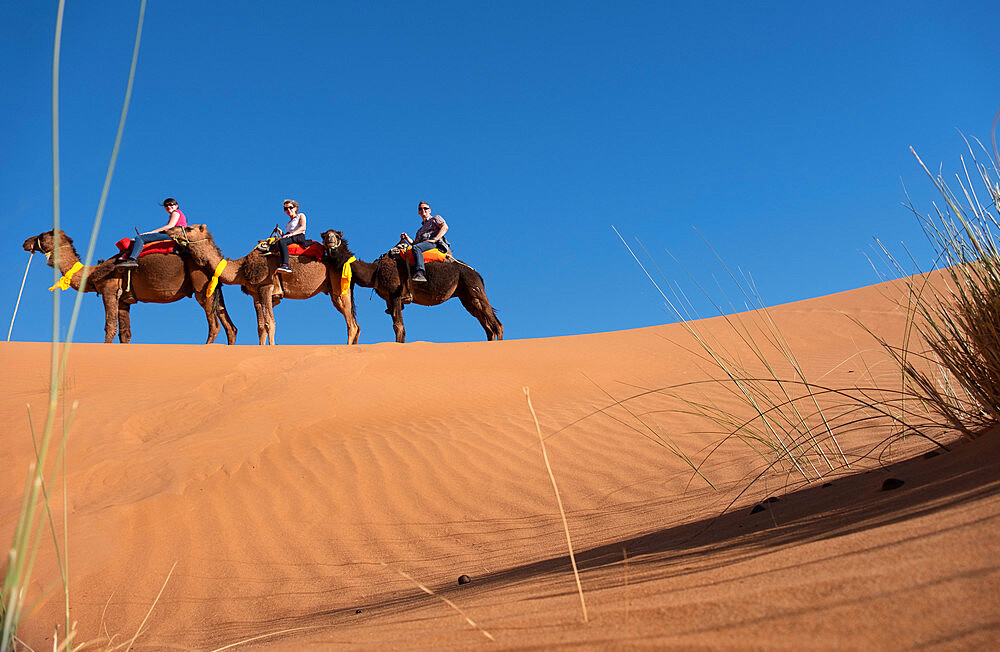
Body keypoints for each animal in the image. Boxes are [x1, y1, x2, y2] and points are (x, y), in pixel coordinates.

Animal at [22, 229, 237, 344]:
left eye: (43, 234)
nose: (25, 242)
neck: (92, 273)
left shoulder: (109, 290)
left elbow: (110, 327)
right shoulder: (124, 301)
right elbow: (125, 334)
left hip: (201, 283)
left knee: (214, 324)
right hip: (215, 287)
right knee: (229, 325)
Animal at [172, 223, 360, 346]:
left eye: (188, 228)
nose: (170, 230)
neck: (241, 268)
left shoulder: (266, 287)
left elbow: (271, 323)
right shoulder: (255, 294)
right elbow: (260, 326)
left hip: (340, 287)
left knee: (351, 324)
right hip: (335, 291)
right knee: (355, 324)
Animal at [324, 228, 504, 342]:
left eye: (337, 236)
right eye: (325, 235)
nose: (330, 241)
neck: (375, 271)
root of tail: (477, 273)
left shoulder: (395, 294)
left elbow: (399, 327)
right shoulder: (389, 300)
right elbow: (398, 326)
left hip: (473, 287)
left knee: (496, 323)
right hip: (465, 296)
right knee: (487, 326)